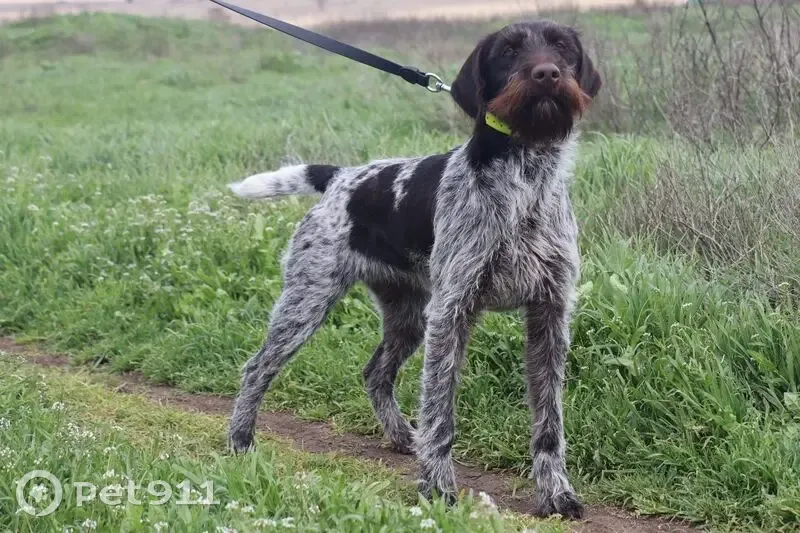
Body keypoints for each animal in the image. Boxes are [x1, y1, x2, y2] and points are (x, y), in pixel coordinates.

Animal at [227, 20, 601, 519]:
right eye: (507, 51)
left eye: (562, 47)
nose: (546, 74)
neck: (525, 179)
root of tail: (341, 178)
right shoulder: (452, 313)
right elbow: (441, 412)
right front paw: (438, 489)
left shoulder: (549, 315)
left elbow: (549, 423)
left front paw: (556, 492)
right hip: (306, 304)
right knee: (256, 369)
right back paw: (240, 440)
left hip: (408, 315)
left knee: (374, 373)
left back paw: (405, 436)